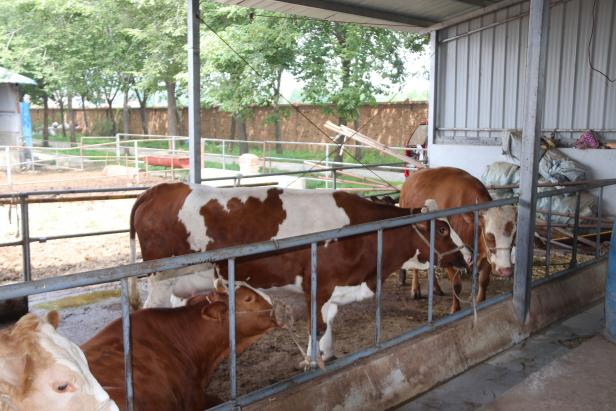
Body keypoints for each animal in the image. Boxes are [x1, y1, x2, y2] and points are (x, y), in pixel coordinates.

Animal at [127, 183, 466, 360]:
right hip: (161, 278)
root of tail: (160, 189)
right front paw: (312, 362)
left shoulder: (336, 286)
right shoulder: (317, 284)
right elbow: (316, 326)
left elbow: (329, 321)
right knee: (149, 310)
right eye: (443, 229)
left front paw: (327, 355)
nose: (467, 257)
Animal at [400, 167, 516, 312]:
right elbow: (456, 285)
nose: (506, 271)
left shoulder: (487, 257)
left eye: (514, 235)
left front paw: (480, 303)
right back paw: (415, 289)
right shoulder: (450, 256)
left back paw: (436, 288)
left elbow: (483, 281)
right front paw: (455, 309)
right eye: (490, 236)